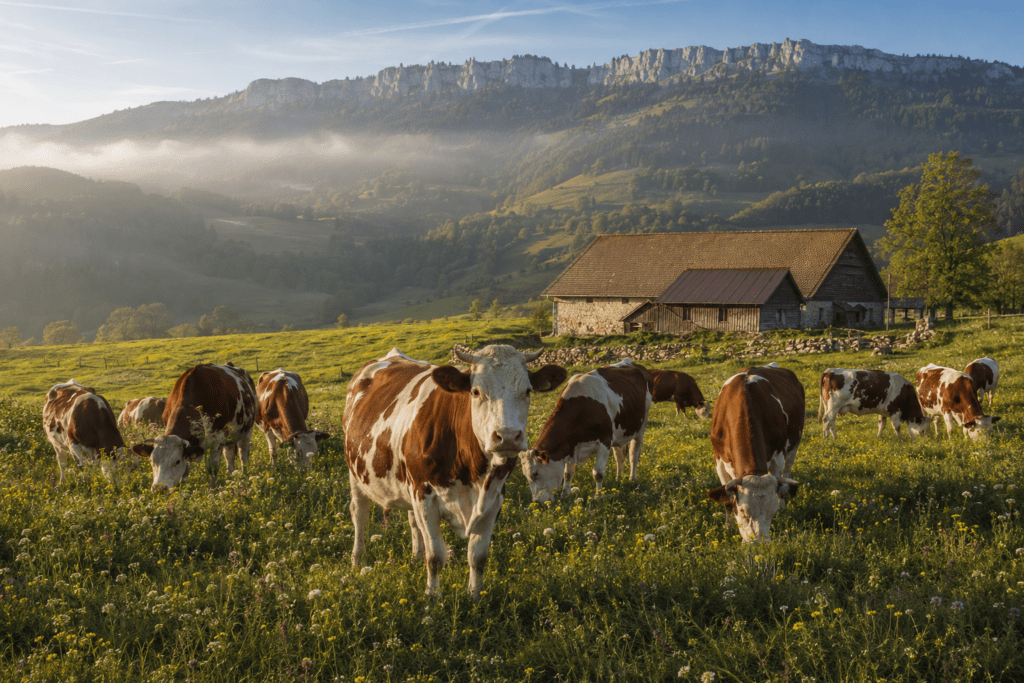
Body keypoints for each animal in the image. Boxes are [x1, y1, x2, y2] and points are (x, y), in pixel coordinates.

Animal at [343, 346, 566, 599]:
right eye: (476, 392)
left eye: (527, 391)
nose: (508, 436)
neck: (473, 473)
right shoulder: (424, 495)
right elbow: (435, 556)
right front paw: (432, 597)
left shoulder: (494, 499)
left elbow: (478, 556)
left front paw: (476, 595)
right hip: (355, 472)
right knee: (359, 513)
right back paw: (358, 559)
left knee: (411, 520)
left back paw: (415, 557)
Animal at [519, 359, 653, 503]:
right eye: (525, 475)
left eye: (535, 473)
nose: (536, 502)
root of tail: (631, 362)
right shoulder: (571, 446)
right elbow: (567, 473)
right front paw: (565, 495)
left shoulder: (604, 441)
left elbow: (598, 473)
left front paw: (598, 496)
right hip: (618, 431)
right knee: (619, 455)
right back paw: (618, 478)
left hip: (642, 423)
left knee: (634, 453)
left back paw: (632, 478)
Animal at [706, 364, 803, 543]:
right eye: (742, 511)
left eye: (773, 512)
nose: (759, 543)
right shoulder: (719, 460)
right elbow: (727, 499)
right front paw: (728, 527)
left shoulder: (778, 456)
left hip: (795, 443)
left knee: (787, 471)